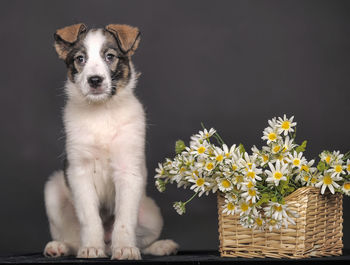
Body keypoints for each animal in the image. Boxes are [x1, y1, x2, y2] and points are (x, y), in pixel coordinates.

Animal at [44, 23, 179, 258]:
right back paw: (60, 247)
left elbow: (124, 220)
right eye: (80, 59)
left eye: (110, 56)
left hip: (152, 213)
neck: (102, 112)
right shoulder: (79, 172)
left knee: (143, 240)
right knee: (72, 238)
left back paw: (161, 246)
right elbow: (90, 219)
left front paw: (125, 248)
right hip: (53, 191)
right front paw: (91, 247)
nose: (95, 80)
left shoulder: (128, 171)